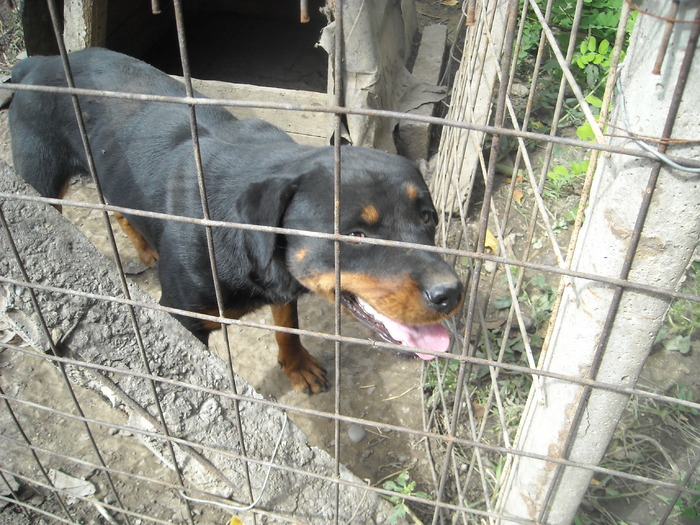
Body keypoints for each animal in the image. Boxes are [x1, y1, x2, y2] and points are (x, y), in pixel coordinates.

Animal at [8, 48, 464, 392]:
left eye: (428, 218)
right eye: (355, 234)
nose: (451, 293)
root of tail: (36, 62)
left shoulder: (282, 284)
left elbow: (288, 326)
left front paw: (297, 366)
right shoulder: (183, 317)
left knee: (118, 205)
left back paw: (146, 247)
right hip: (41, 179)